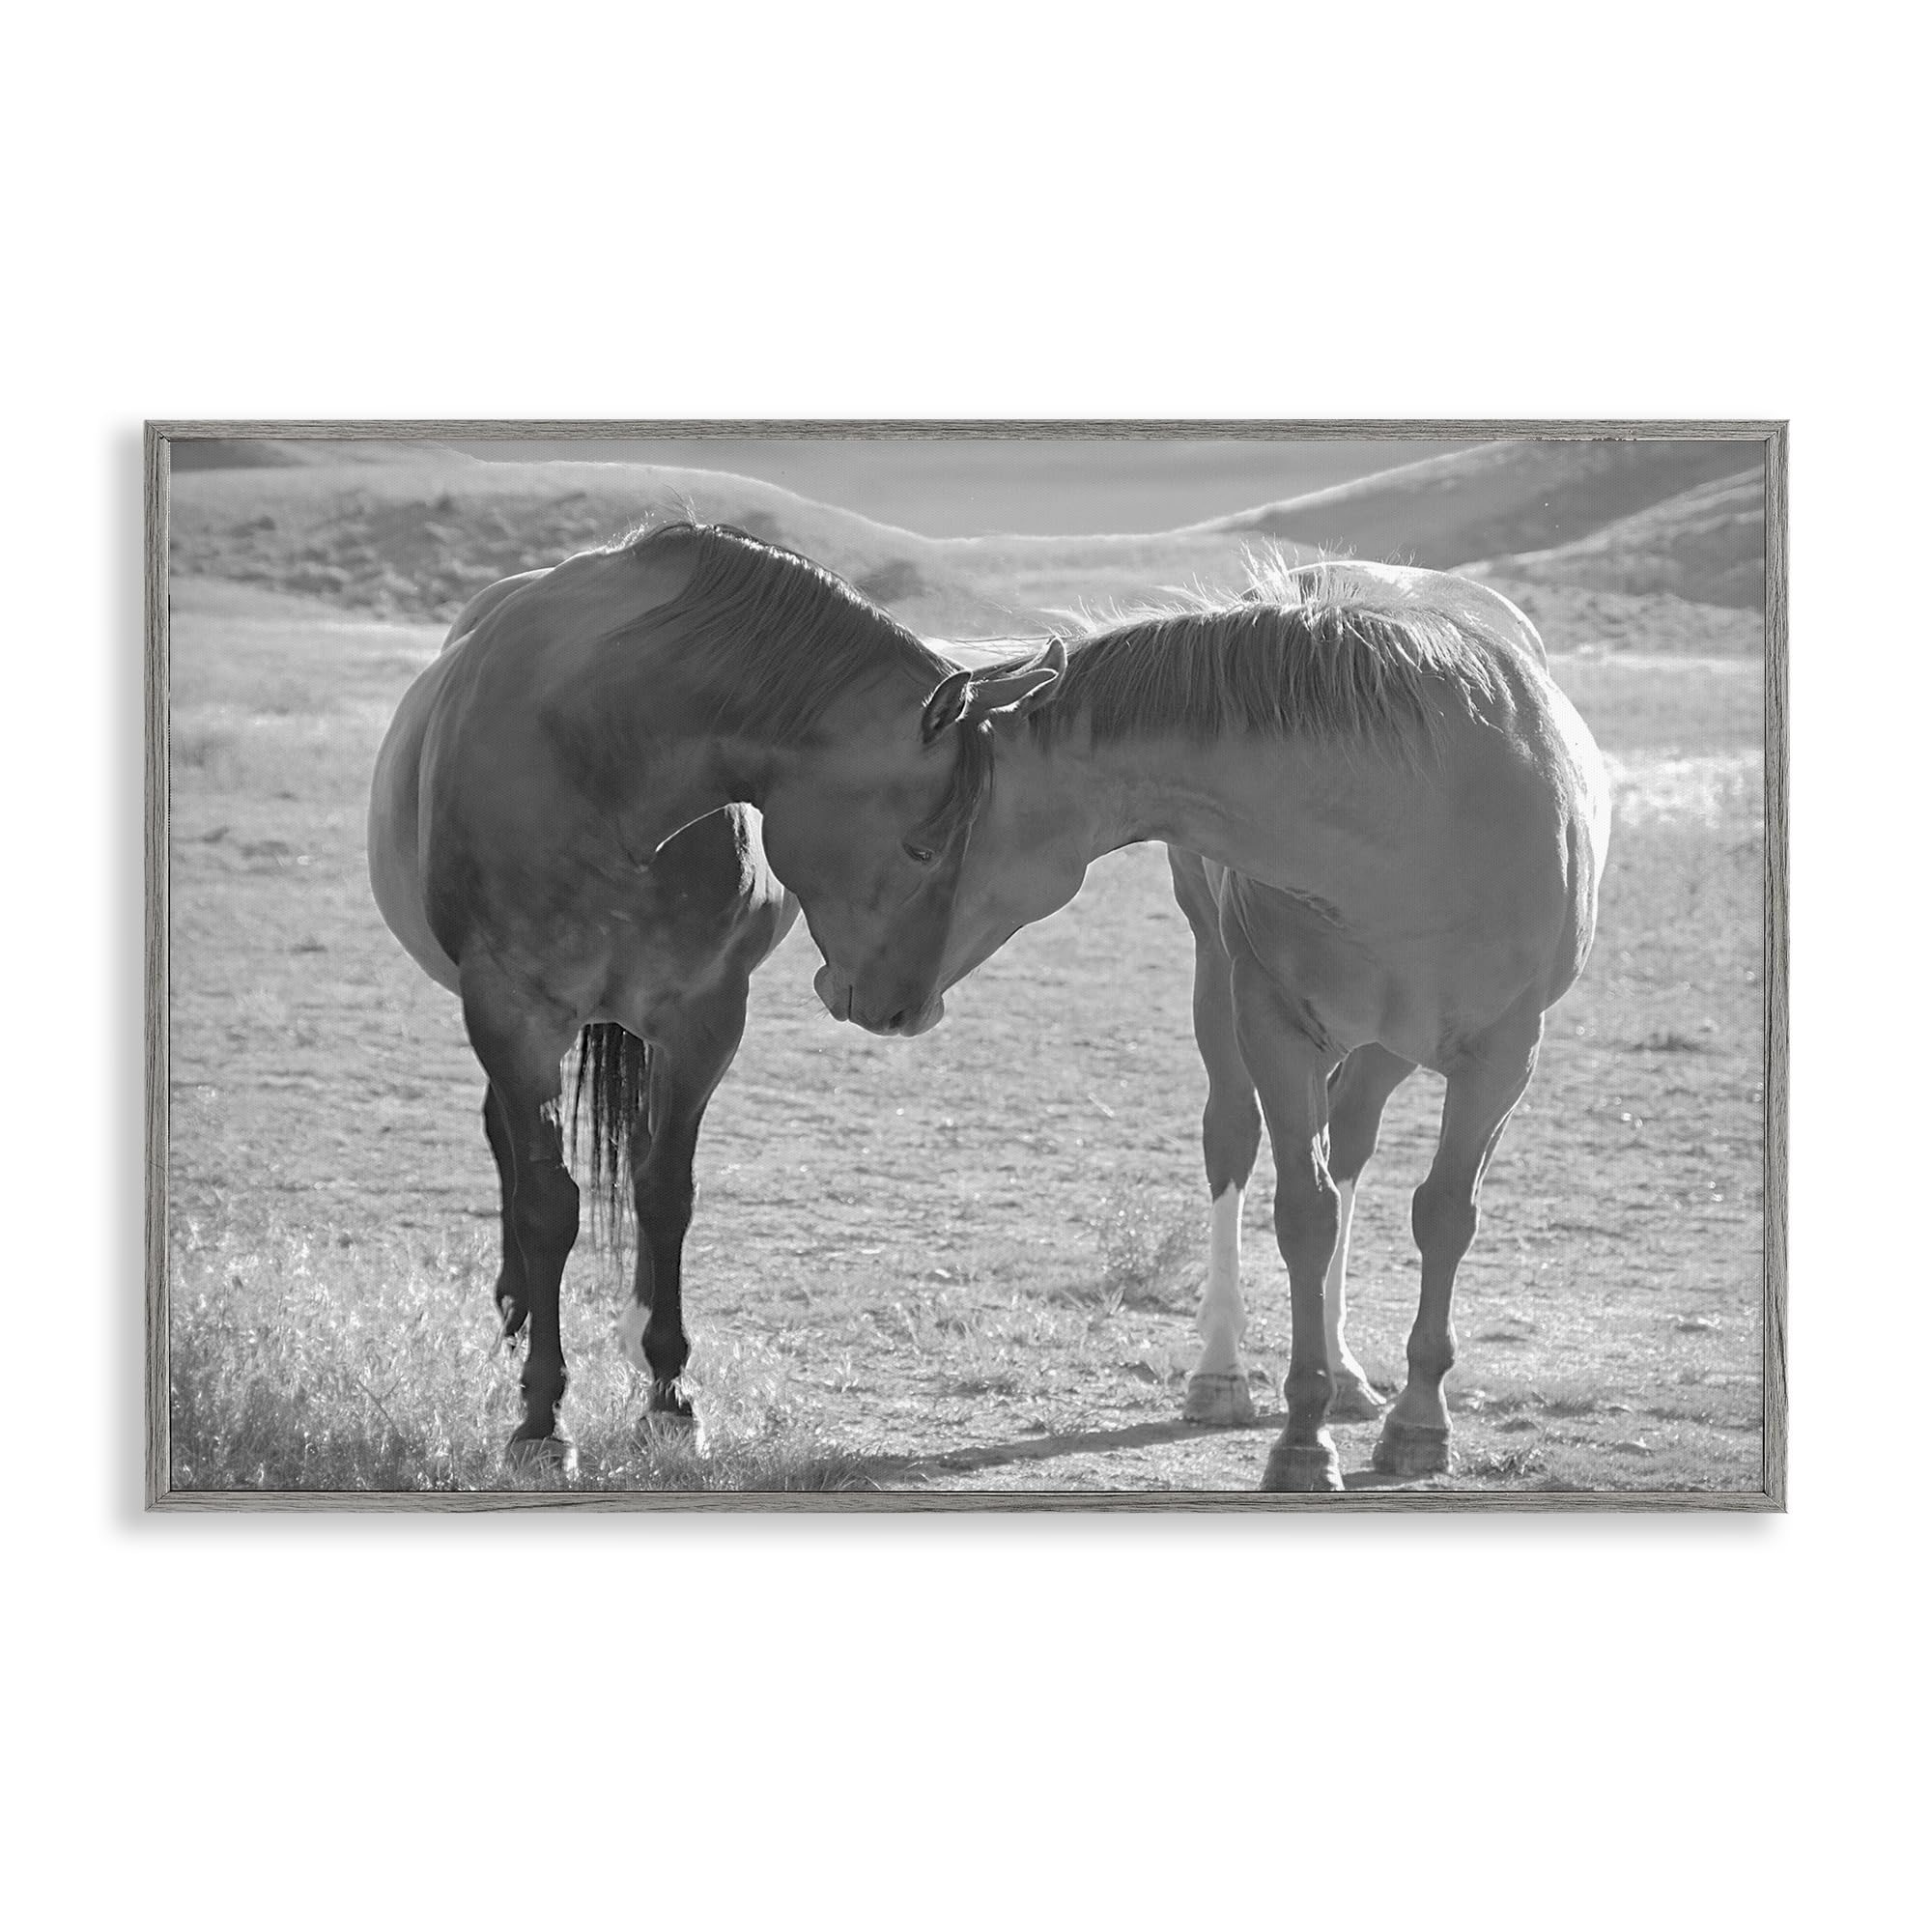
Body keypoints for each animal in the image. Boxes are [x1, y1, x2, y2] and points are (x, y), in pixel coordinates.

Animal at [366, 522, 1061, 1469]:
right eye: (924, 846)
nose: (908, 1010)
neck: (601, 757)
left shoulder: (702, 1019)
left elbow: (666, 1192)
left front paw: (668, 1395)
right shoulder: (511, 1013)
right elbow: (549, 1204)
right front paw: (542, 1417)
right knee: (508, 1148)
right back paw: (514, 1310)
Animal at [826, 559, 1611, 1493]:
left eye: (918, 844)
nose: (846, 989)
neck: (1417, 813)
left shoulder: (1504, 1056)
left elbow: (1444, 1215)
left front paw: (1419, 1422)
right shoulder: (1273, 1026)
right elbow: (1303, 1214)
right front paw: (1303, 1438)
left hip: (1388, 1046)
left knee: (1353, 1145)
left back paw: (1350, 1372)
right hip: (1222, 987)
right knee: (1234, 1140)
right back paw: (1223, 1373)